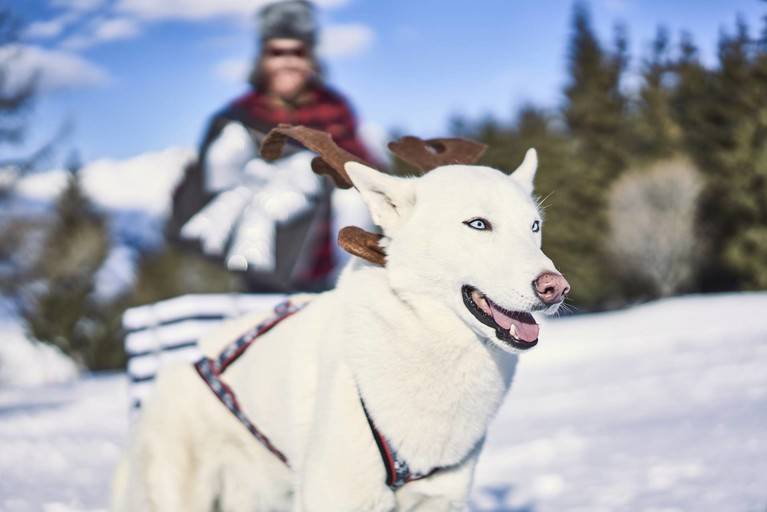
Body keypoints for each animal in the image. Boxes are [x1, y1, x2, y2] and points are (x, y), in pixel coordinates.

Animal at [114, 149, 568, 512]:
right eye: (477, 224)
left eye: (534, 227)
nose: (555, 287)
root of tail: (179, 366)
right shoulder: (335, 497)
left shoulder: (438, 500)